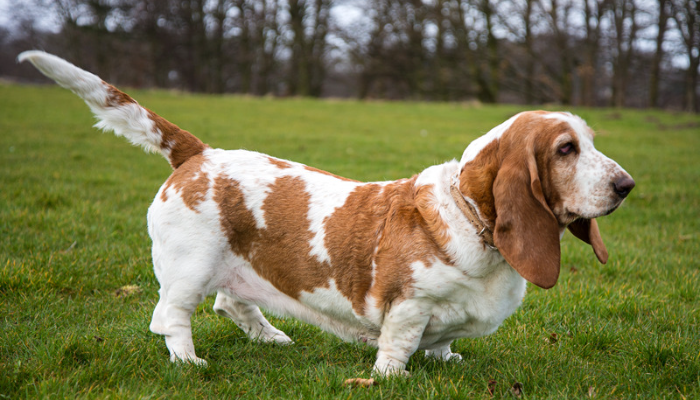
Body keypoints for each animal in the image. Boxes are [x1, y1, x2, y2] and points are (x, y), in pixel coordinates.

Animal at [21, 50, 636, 378]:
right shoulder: (408, 306)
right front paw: (391, 376)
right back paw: (190, 363)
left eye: (590, 141)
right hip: (189, 268)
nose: (627, 185)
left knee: (231, 302)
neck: (471, 219)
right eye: (565, 149)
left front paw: (449, 359)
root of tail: (198, 153)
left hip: (233, 265)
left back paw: (272, 338)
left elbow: (443, 343)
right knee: (171, 317)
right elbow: (399, 345)